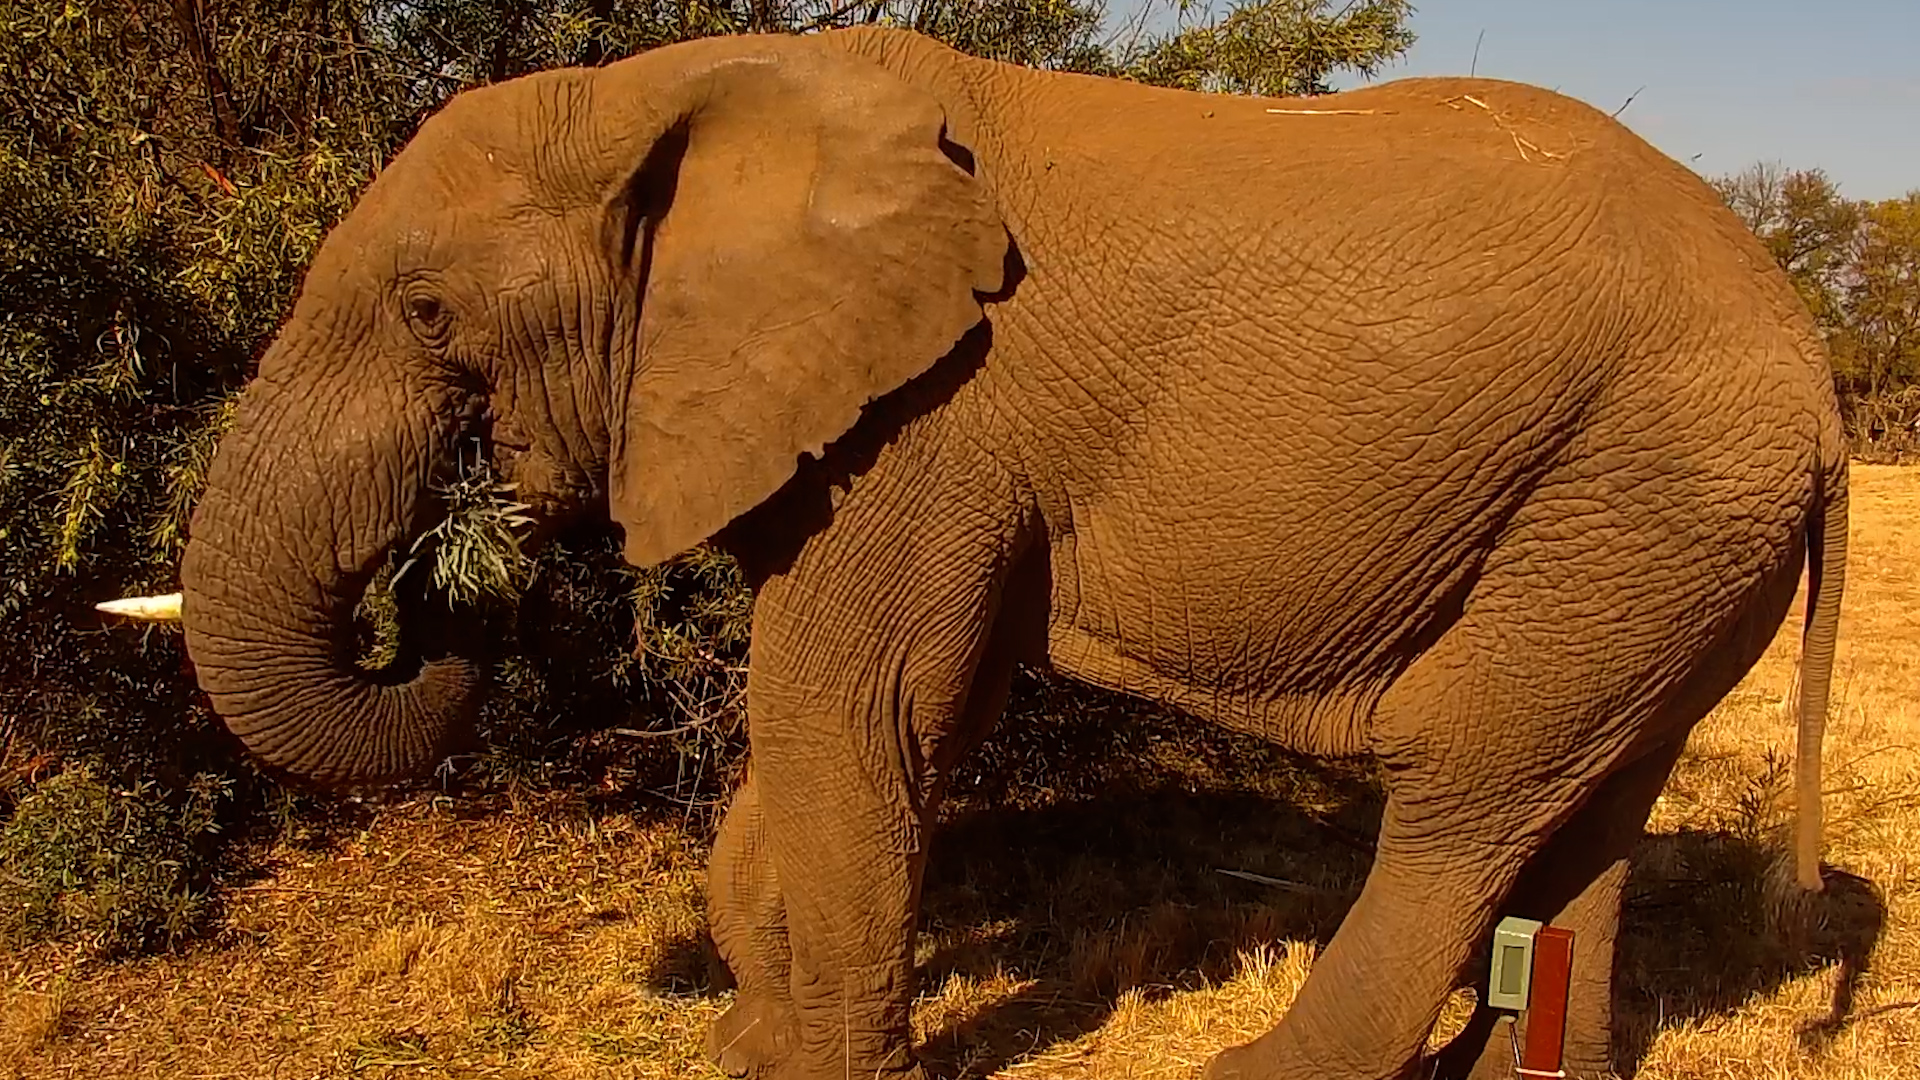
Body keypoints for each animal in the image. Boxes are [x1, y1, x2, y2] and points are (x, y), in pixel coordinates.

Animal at [131, 25, 1849, 1080]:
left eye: (429, 314)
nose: (448, 595)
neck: (666, 94)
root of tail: (1822, 381)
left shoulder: (934, 421)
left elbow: (856, 709)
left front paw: (813, 1069)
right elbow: (841, 733)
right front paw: (751, 1049)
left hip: (1649, 493)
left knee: (1465, 780)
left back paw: (1257, 1071)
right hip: (1654, 534)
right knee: (1589, 797)